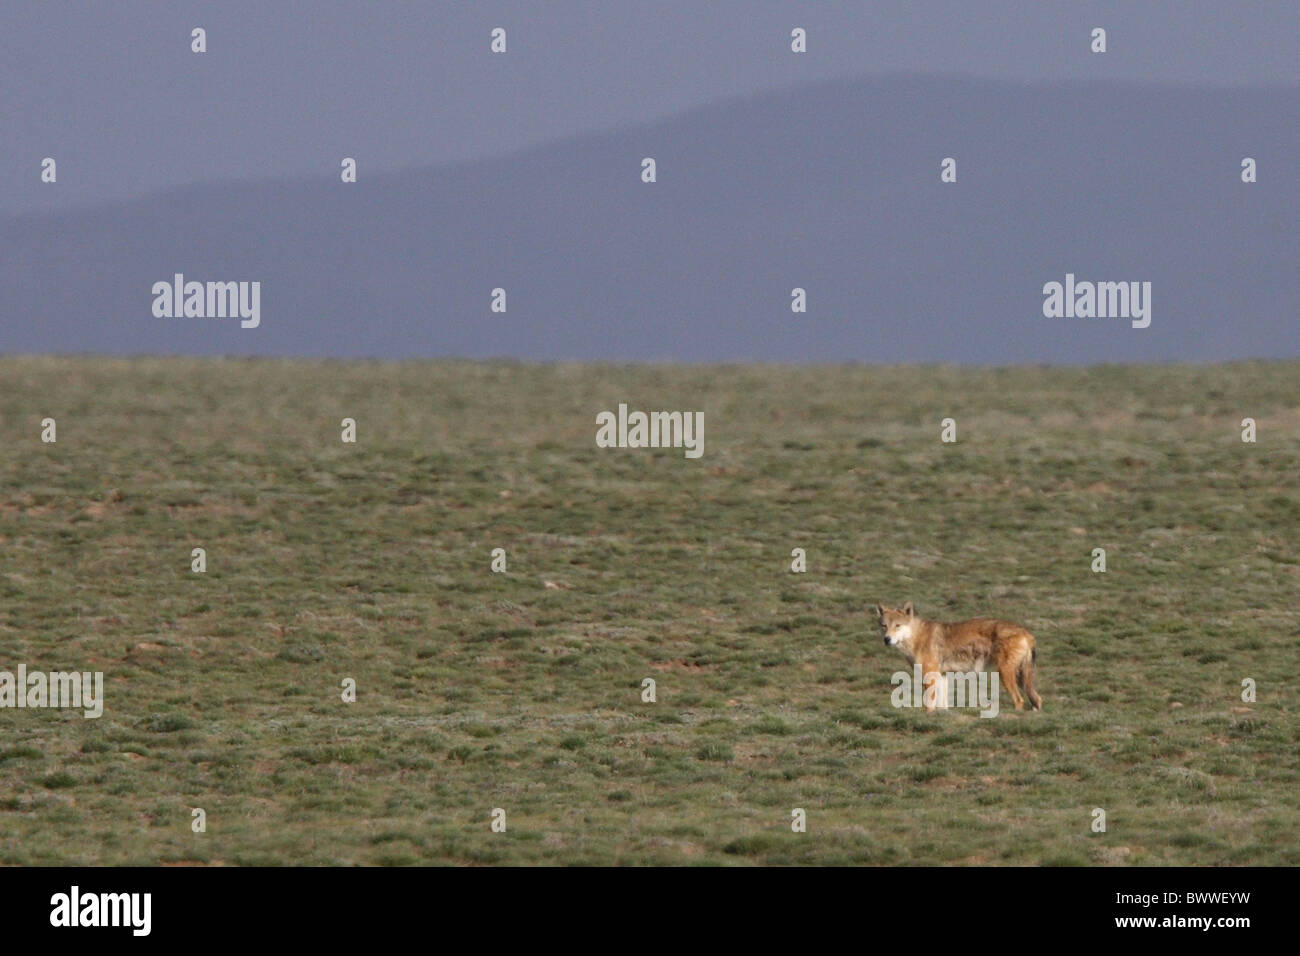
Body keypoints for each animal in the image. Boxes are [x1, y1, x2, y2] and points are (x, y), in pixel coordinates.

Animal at [873, 600, 1045, 712]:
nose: (887, 639)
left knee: (1019, 701)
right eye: (884, 626)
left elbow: (928, 705)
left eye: (897, 626)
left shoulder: (929, 675)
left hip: (1005, 674)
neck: (916, 637)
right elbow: (942, 705)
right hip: (1021, 678)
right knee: (1037, 700)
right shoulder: (942, 675)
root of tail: (1027, 632)